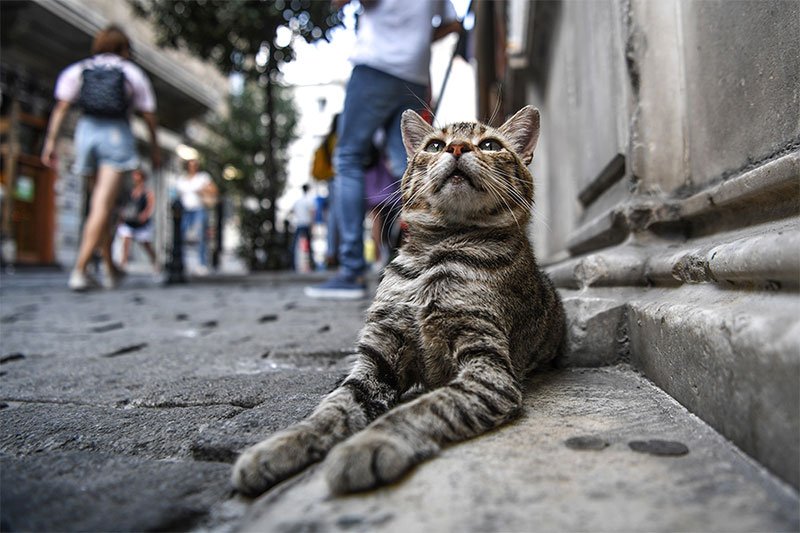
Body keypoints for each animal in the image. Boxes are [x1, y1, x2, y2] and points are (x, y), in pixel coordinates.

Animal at [233, 106, 568, 496]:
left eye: (489, 145)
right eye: (434, 145)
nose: (456, 148)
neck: (436, 255)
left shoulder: (488, 370)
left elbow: (423, 408)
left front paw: (369, 444)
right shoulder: (377, 359)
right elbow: (330, 409)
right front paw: (280, 445)